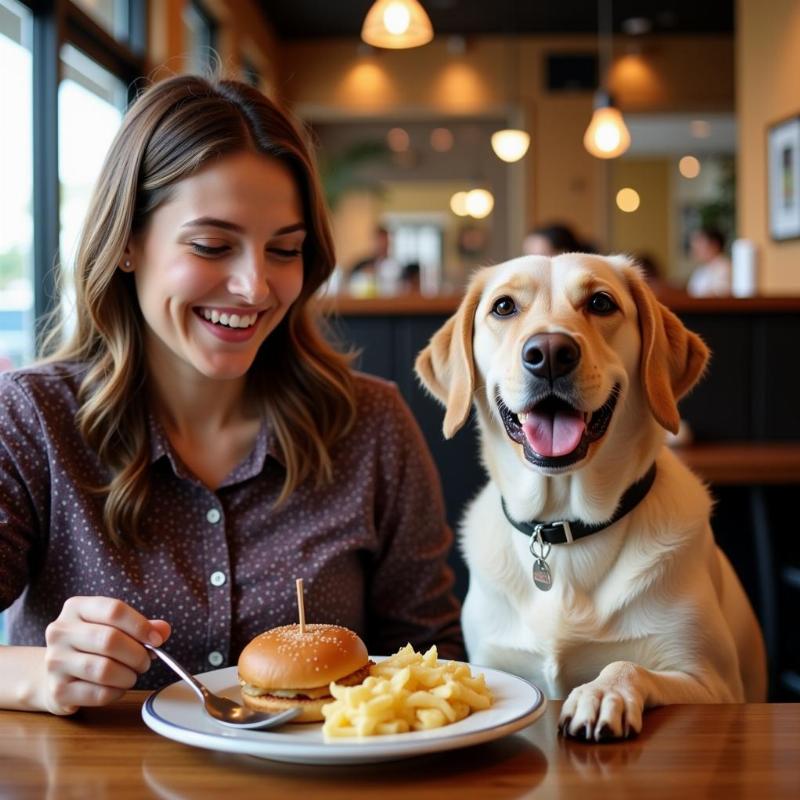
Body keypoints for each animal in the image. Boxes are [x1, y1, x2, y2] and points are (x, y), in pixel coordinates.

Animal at [416, 253, 764, 740]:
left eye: (601, 302)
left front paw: (601, 694)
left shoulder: (713, 682)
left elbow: (626, 664)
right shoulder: (495, 663)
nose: (549, 353)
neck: (563, 527)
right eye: (503, 307)